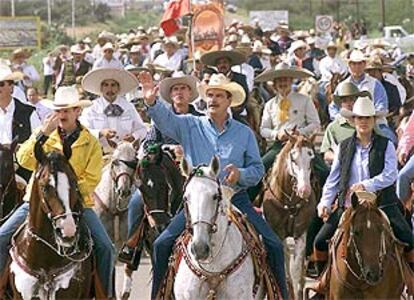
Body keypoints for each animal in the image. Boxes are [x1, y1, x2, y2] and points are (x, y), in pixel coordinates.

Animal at [264, 134, 318, 300]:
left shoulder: (300, 233)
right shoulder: (278, 233)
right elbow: (286, 267)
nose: (304, 190)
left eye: (311, 158)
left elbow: (296, 271)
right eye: (293, 159)